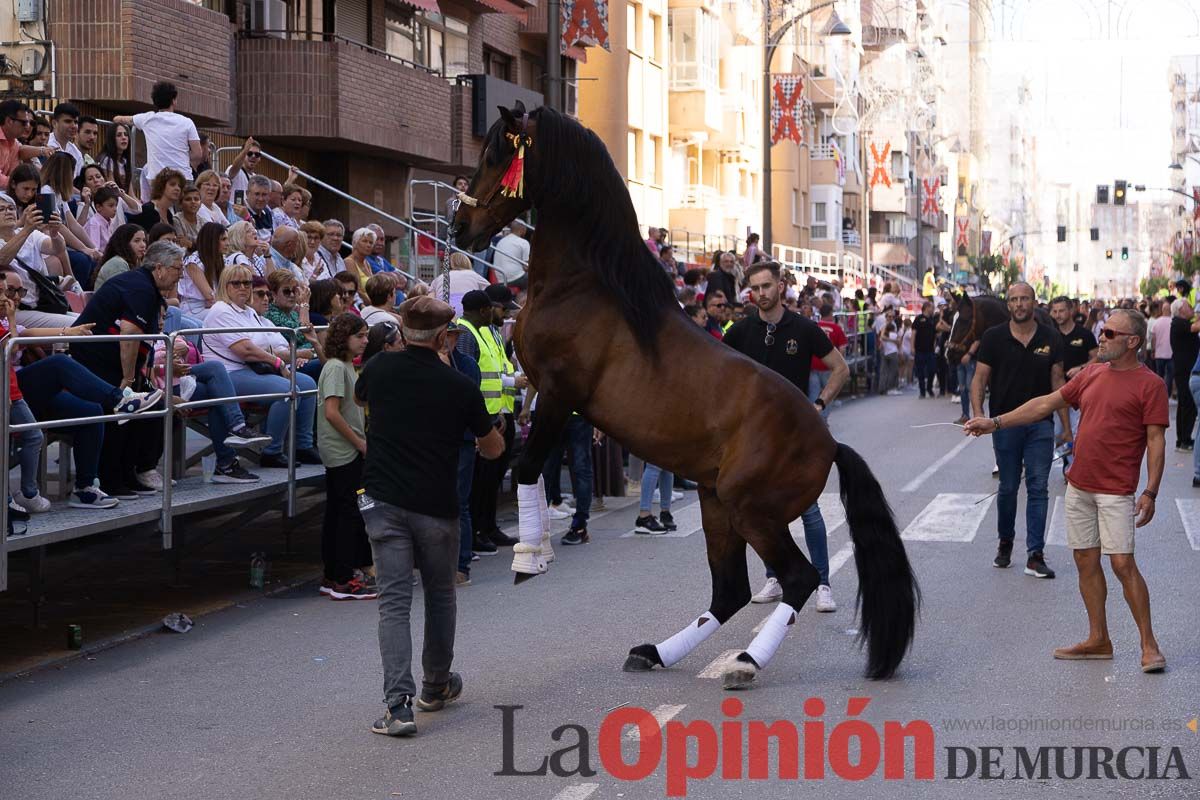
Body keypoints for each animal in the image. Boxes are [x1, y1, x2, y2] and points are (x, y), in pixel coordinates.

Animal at [451, 101, 916, 690]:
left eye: (496, 153)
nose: (459, 226)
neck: (585, 286)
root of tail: (828, 442)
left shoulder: (559, 393)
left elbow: (530, 468)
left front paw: (530, 557)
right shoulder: (540, 392)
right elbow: (529, 463)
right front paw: (537, 547)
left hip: (751, 509)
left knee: (798, 577)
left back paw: (744, 661)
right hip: (718, 503)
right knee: (731, 591)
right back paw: (656, 651)